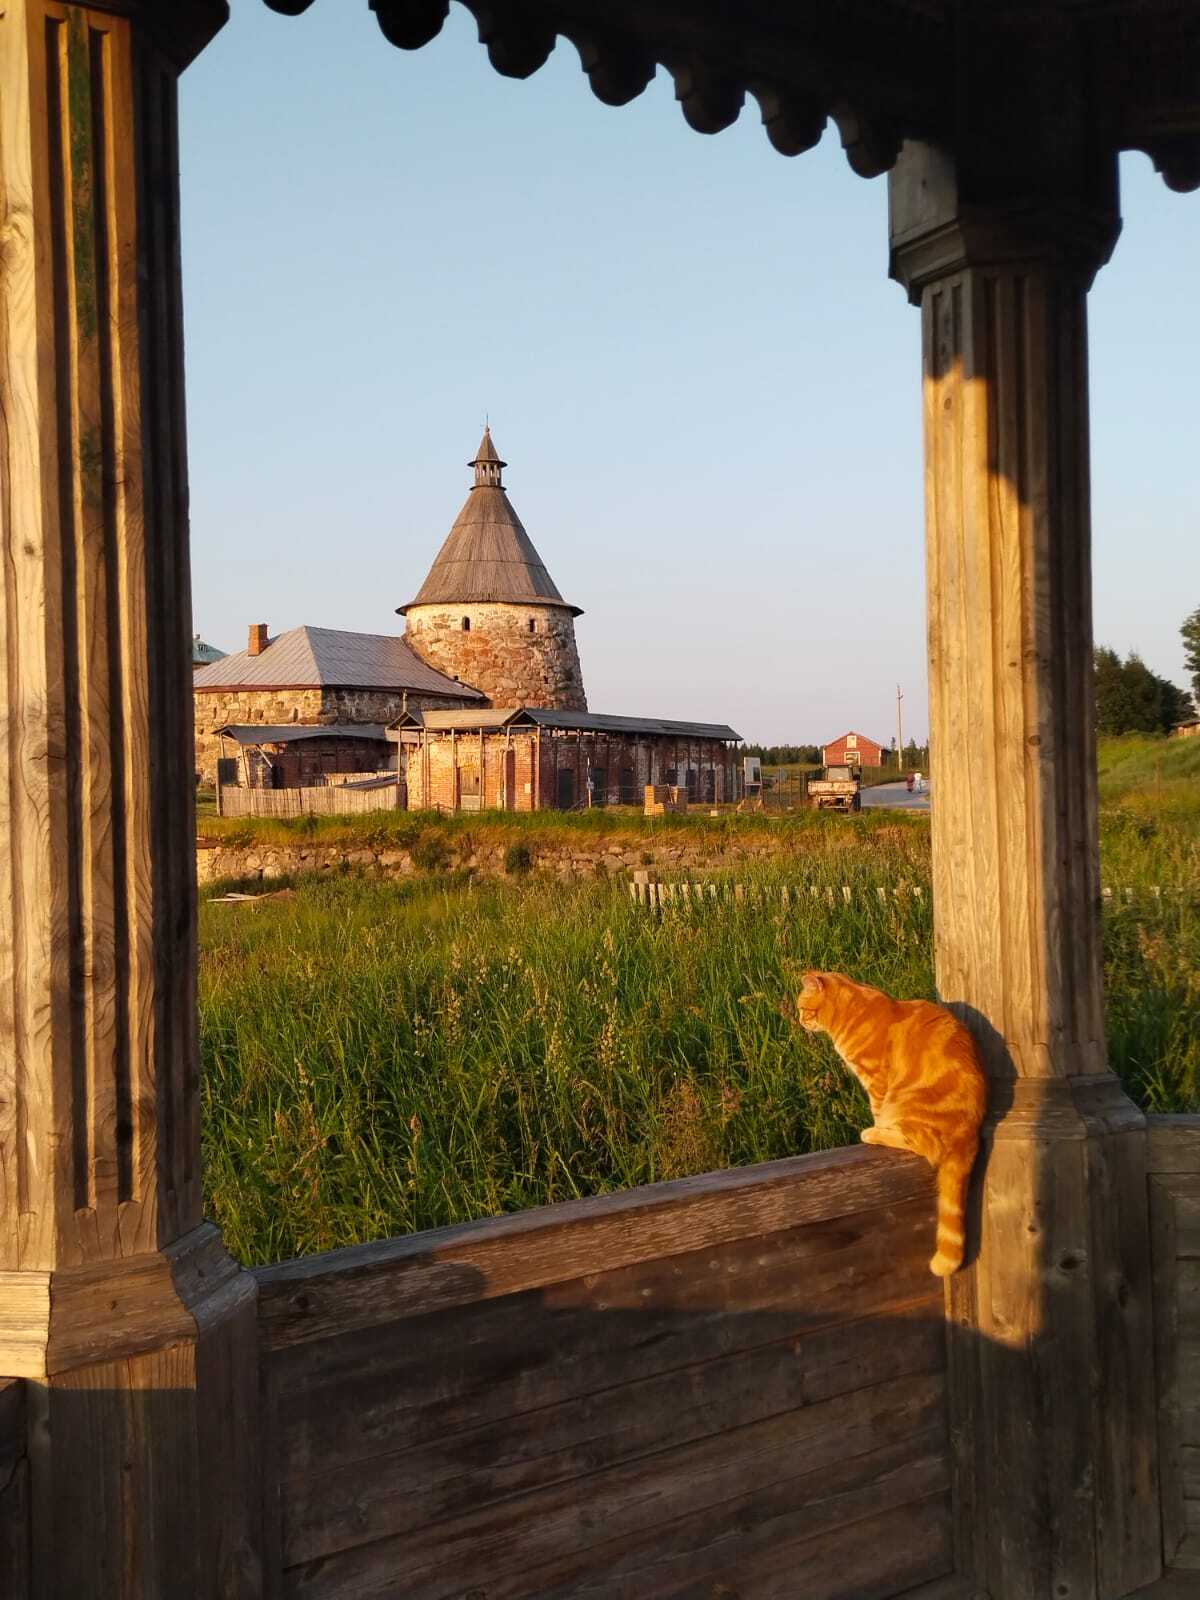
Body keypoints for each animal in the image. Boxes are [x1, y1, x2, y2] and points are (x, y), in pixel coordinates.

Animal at [791, 971, 987, 1276]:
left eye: (804, 1009)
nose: (800, 1021)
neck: (854, 1008)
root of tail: (970, 1132)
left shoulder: (876, 1081)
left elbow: (877, 1110)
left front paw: (877, 1126)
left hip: (906, 1104)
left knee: (919, 1143)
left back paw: (874, 1133)